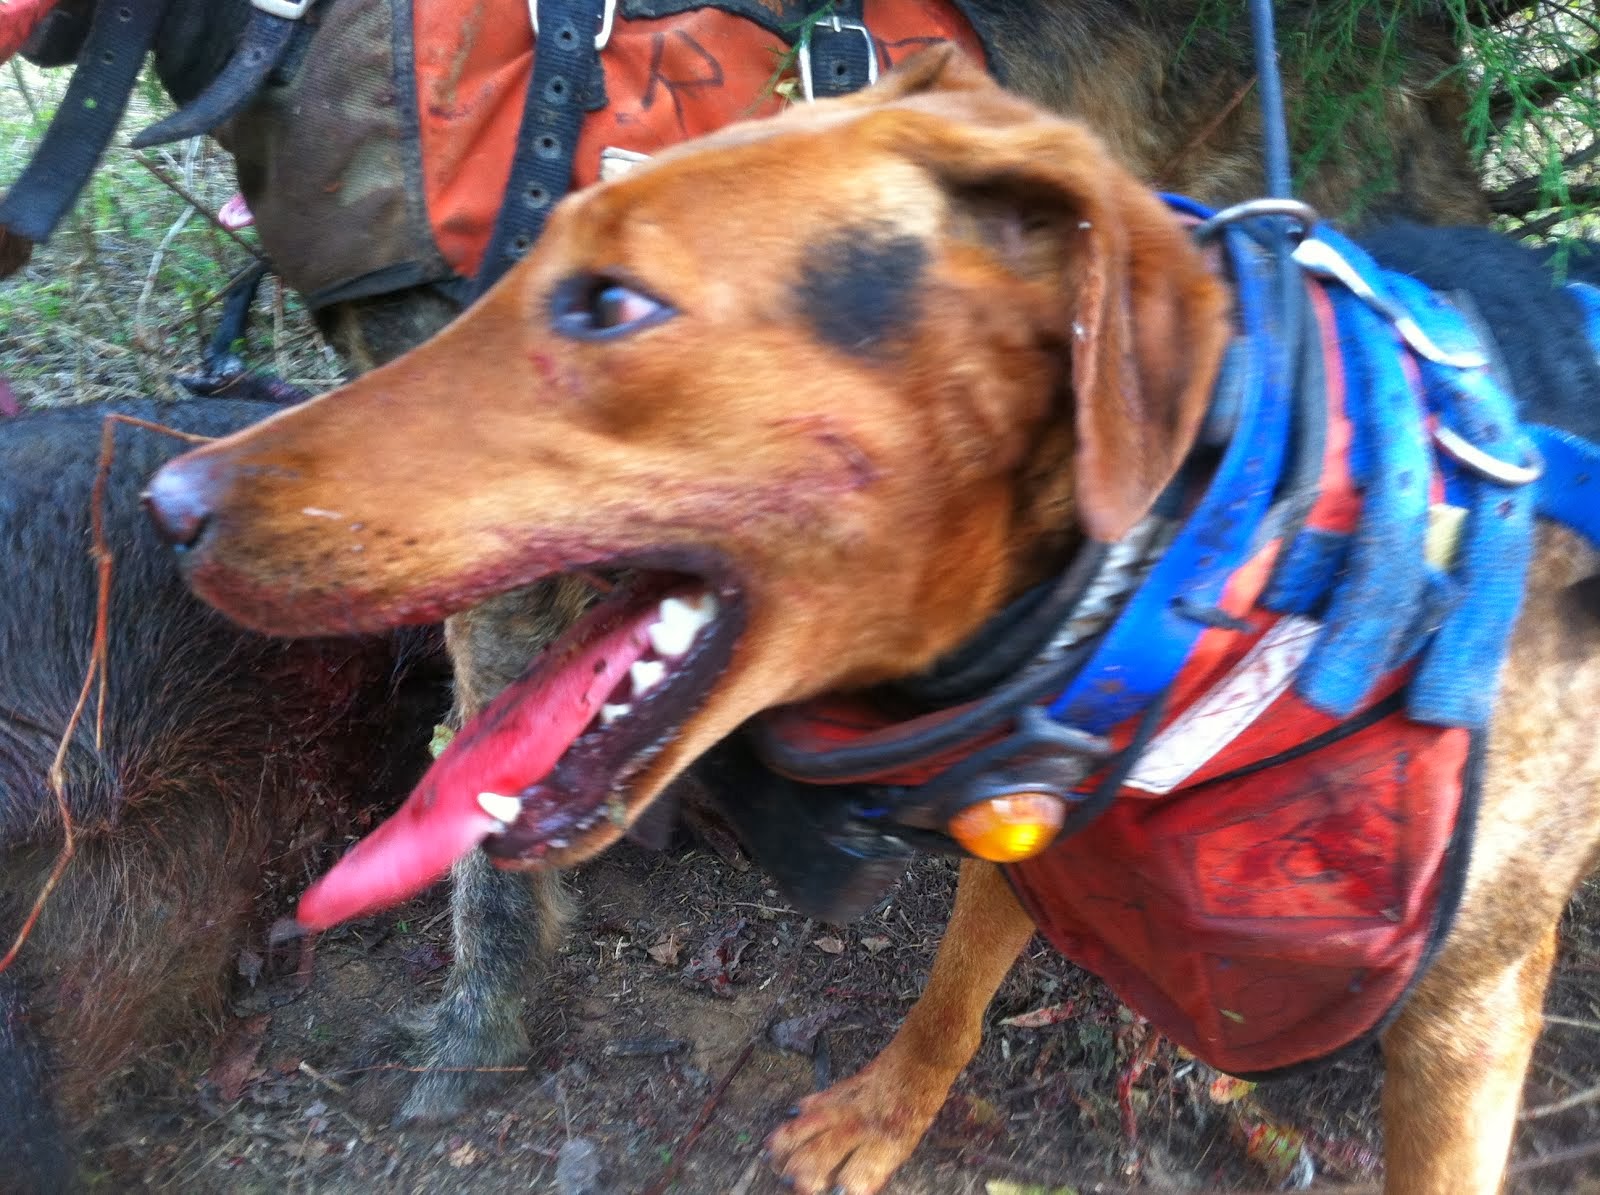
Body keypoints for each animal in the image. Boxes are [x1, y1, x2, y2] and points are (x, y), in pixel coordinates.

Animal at [147, 53, 1600, 1195]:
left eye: (611, 304)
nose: (165, 504)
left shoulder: (1465, 1014)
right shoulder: (1017, 840)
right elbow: (950, 995)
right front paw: (884, 1113)